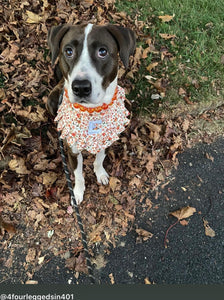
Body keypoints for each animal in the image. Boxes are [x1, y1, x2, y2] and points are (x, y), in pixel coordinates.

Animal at [46, 23, 136, 204]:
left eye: (102, 51)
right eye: (68, 51)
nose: (80, 87)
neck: (91, 113)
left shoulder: (106, 141)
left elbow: (99, 160)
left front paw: (100, 174)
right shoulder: (73, 151)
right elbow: (78, 174)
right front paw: (78, 192)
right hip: (51, 101)